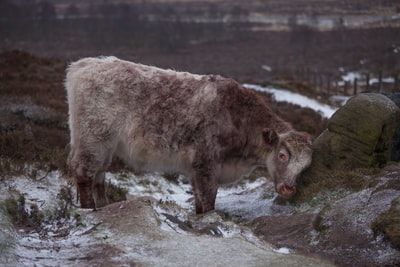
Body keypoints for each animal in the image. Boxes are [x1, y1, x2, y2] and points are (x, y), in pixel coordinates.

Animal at [65, 57, 312, 215]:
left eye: (306, 166)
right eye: (282, 155)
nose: (288, 189)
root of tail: (83, 65)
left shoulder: (196, 169)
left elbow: (199, 200)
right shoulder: (206, 163)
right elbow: (208, 199)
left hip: (105, 145)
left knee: (99, 174)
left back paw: (103, 206)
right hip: (92, 139)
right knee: (84, 173)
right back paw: (88, 210)